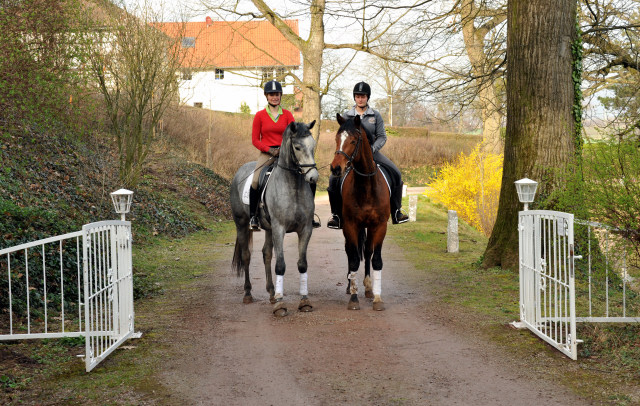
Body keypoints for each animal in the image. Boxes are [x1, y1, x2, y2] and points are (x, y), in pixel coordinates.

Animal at [231, 120, 318, 318]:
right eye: (297, 147)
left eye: (313, 145)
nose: (313, 177)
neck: (293, 187)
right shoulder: (280, 229)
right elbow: (280, 265)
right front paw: (280, 305)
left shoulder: (305, 229)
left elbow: (302, 264)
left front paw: (304, 301)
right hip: (242, 224)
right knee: (246, 255)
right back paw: (248, 294)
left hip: (269, 229)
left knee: (266, 254)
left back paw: (272, 293)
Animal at [330, 114, 390, 310]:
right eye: (337, 139)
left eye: (353, 140)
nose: (336, 168)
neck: (366, 187)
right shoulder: (351, 225)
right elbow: (355, 258)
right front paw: (354, 297)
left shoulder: (380, 225)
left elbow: (376, 259)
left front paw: (377, 298)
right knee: (351, 252)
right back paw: (351, 286)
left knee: (368, 251)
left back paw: (369, 288)